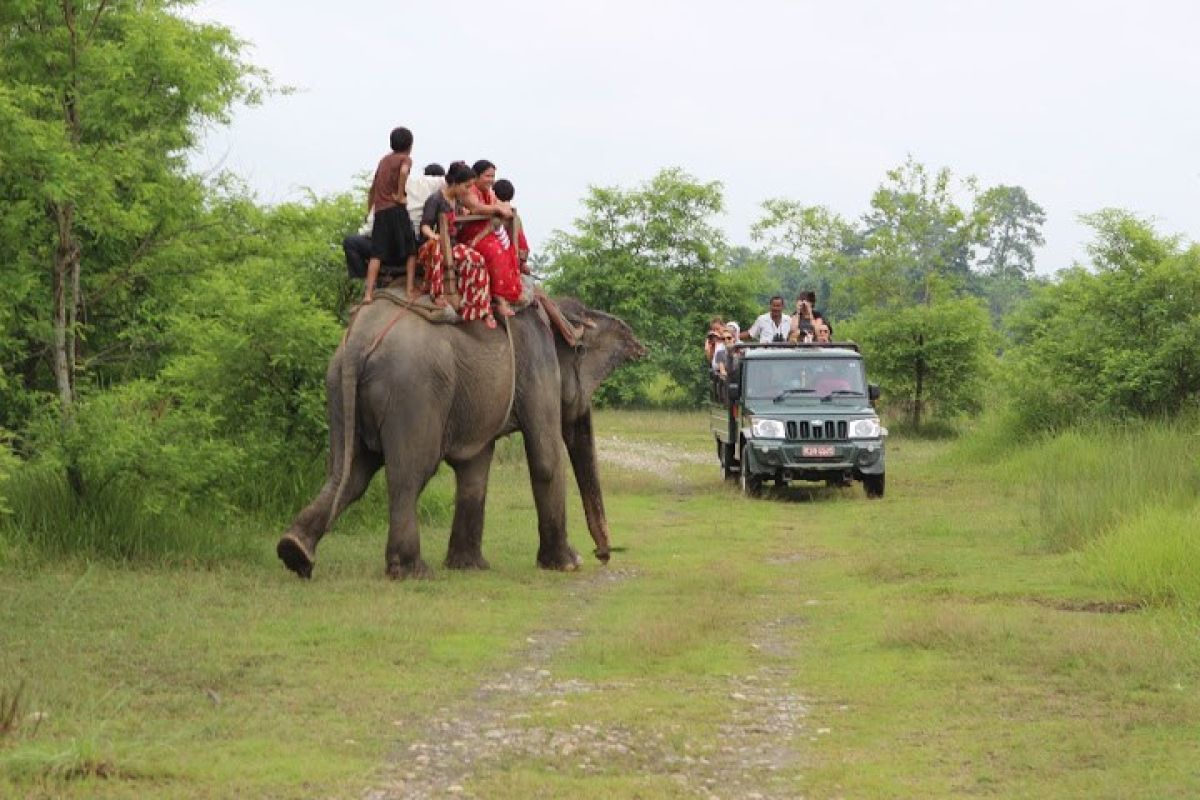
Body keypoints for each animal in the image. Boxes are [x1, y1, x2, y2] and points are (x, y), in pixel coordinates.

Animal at [276, 297, 648, 578]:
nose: (603, 555)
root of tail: (357, 342)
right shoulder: (537, 364)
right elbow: (544, 457)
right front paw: (568, 564)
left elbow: (474, 468)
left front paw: (468, 567)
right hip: (413, 391)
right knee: (409, 474)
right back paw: (412, 571)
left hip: (337, 384)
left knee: (348, 472)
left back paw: (295, 553)